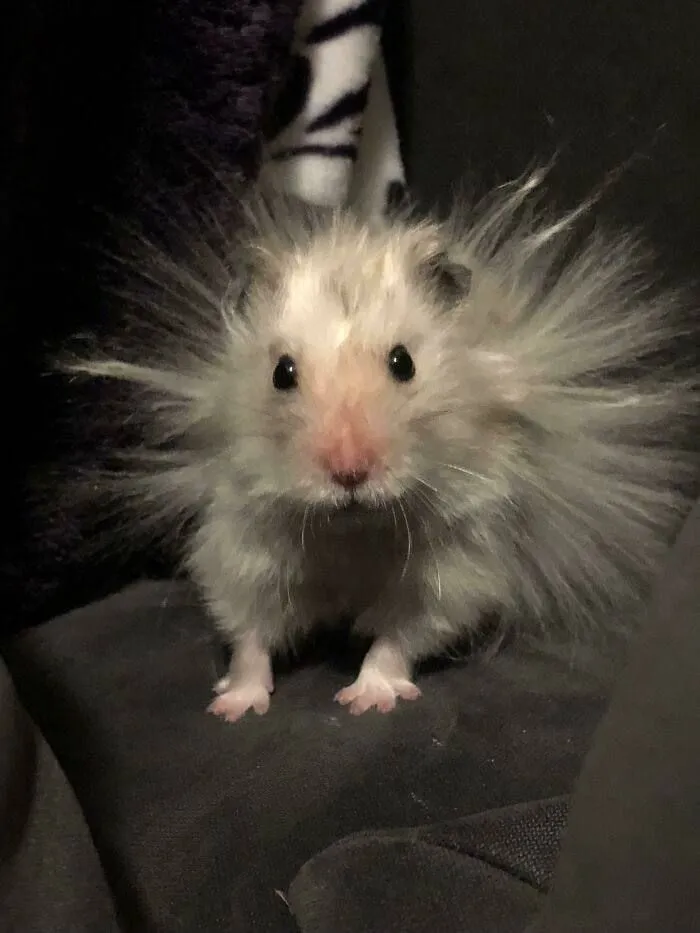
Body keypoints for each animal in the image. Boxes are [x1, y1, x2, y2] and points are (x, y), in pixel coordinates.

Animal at [63, 172, 698, 720]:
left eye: (403, 362)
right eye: (282, 373)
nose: (350, 473)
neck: (352, 529)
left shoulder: (450, 569)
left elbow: (397, 637)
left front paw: (366, 700)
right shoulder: (243, 547)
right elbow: (249, 635)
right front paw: (233, 708)